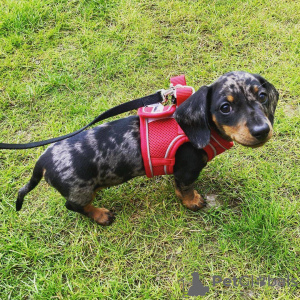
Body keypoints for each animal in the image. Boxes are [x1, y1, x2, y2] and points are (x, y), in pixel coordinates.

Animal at [16, 71, 278, 225]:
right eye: (225, 107)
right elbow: (185, 189)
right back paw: (100, 214)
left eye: (262, 96)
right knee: (73, 206)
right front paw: (192, 202)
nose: (262, 130)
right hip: (78, 191)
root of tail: (43, 160)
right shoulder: (186, 171)